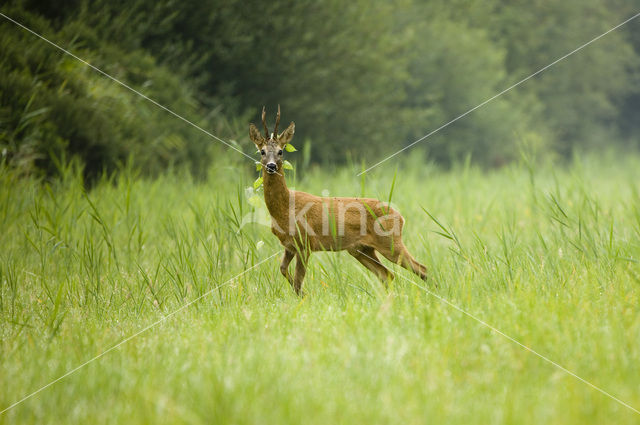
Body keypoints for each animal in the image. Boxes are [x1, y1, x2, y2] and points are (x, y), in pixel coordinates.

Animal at [251, 105, 430, 294]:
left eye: (281, 151)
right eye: (262, 151)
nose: (271, 166)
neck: (285, 209)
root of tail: (400, 216)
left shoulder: (305, 242)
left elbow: (299, 280)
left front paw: (304, 296)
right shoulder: (289, 246)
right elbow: (283, 270)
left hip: (390, 241)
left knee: (421, 269)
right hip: (361, 249)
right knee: (387, 274)